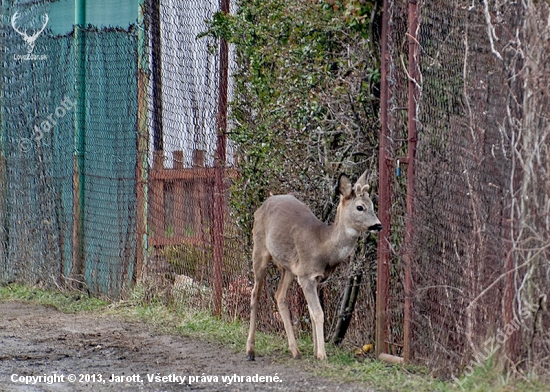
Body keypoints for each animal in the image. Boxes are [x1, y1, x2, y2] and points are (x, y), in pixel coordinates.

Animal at [247, 172, 384, 362]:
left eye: (371, 204)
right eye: (360, 207)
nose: (378, 225)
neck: (323, 247)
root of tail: (261, 207)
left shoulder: (315, 277)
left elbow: (312, 313)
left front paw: (315, 350)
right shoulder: (306, 275)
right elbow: (318, 313)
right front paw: (322, 354)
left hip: (289, 268)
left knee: (279, 295)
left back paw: (295, 351)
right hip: (260, 248)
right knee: (255, 293)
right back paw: (250, 351)